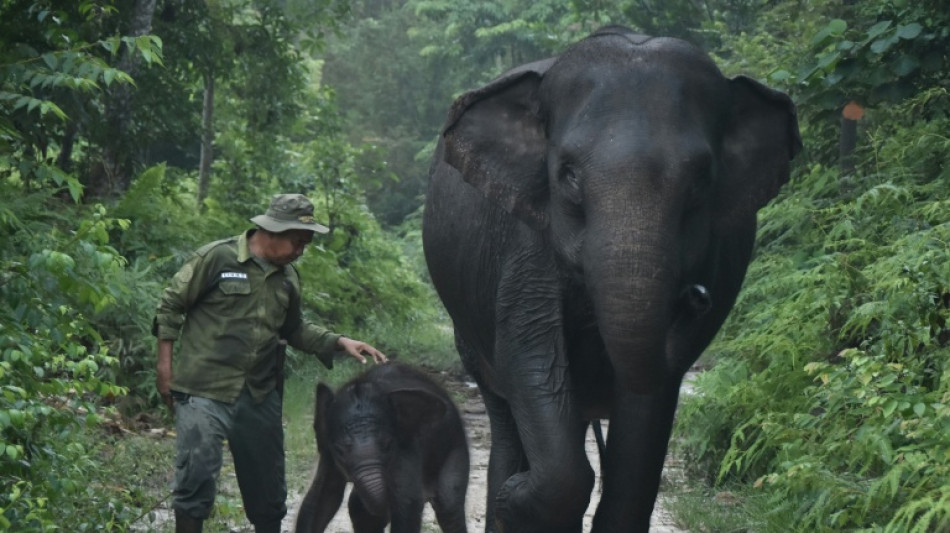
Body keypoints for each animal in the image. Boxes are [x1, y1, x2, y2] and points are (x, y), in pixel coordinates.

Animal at [294, 363, 469, 533]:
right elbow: (322, 498)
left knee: (448, 507)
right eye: (340, 451)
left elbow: (407, 506)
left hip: (456, 448)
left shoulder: (405, 450)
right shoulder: (327, 452)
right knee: (357, 508)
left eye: (387, 445)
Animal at [422, 26, 801, 533]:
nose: (697, 296)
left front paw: (516, 499)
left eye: (702, 179)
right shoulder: (526, 237)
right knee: (503, 408)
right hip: (469, 332)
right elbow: (531, 350)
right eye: (567, 174)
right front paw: (512, 497)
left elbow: (645, 410)